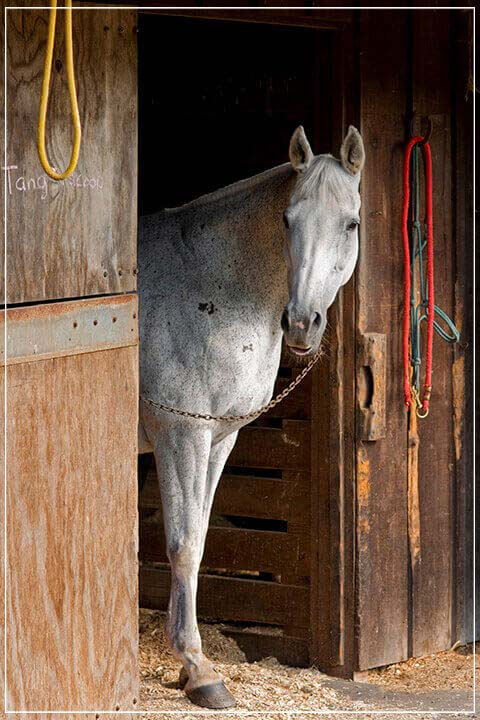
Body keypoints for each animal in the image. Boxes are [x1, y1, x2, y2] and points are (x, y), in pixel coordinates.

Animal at [138, 125, 365, 708]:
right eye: (287, 218)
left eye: (350, 223)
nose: (302, 323)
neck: (208, 285)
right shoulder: (182, 435)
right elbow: (184, 544)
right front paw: (199, 670)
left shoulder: (218, 440)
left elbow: (197, 538)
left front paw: (190, 665)